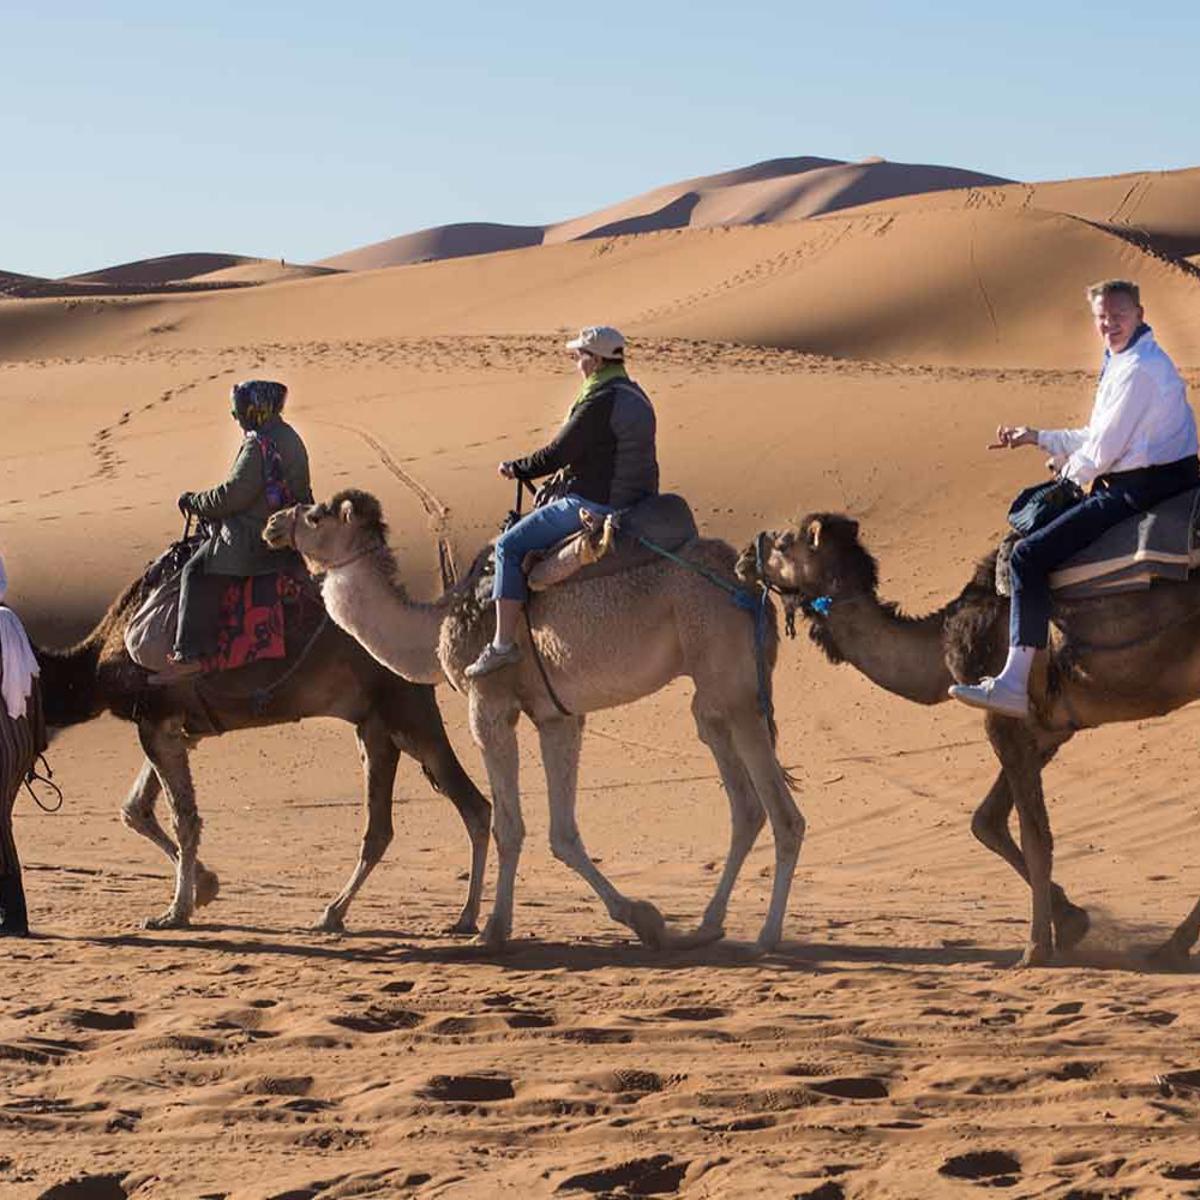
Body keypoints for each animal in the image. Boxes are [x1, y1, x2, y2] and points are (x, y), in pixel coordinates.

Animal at [34, 571, 492, 936]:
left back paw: (465, 919)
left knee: (473, 806)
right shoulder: (180, 727)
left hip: (404, 709)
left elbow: (184, 819)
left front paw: (175, 912)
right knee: (384, 828)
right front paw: (205, 886)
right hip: (375, 725)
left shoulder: (157, 719)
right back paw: (334, 914)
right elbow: (136, 809)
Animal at [265, 492, 806, 950]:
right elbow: (562, 833)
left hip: (729, 680)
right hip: (713, 698)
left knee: (784, 814)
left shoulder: (489, 705)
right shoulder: (556, 716)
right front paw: (642, 918)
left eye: (315, 516)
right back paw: (707, 926)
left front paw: (493, 929)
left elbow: (508, 824)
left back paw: (767, 936)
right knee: (745, 805)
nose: (274, 523)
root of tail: (752, 588)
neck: (436, 625)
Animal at [734, 518, 1200, 974]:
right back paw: (1170, 948)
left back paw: (1171, 947)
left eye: (785, 542)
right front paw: (1072, 921)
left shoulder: (1002, 716)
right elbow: (986, 821)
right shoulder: (1047, 729)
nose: (743, 557)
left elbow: (1035, 836)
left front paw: (1035, 950)